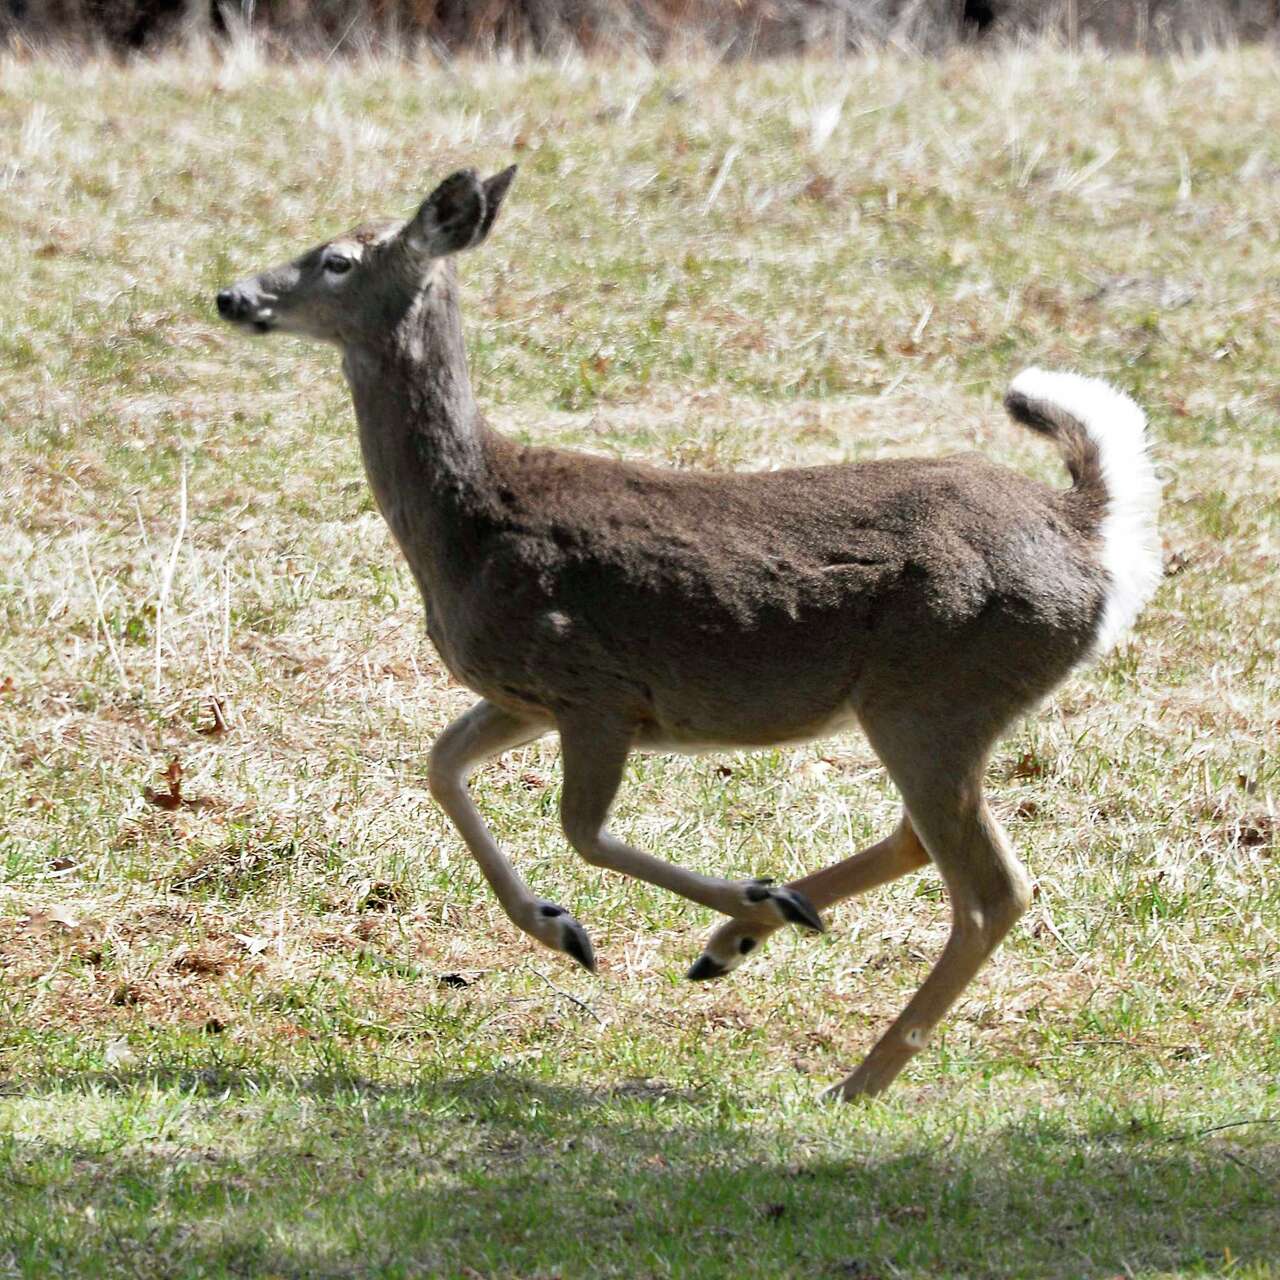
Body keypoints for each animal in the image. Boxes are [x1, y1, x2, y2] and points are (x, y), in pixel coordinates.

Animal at [215, 165, 1161, 1098]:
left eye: (337, 259)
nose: (232, 294)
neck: (471, 525)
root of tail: (1088, 530)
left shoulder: (593, 686)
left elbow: (580, 828)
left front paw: (711, 904)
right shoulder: (524, 694)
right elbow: (441, 764)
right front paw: (564, 927)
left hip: (935, 690)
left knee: (994, 887)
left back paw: (850, 1072)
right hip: (932, 706)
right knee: (922, 841)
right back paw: (744, 944)